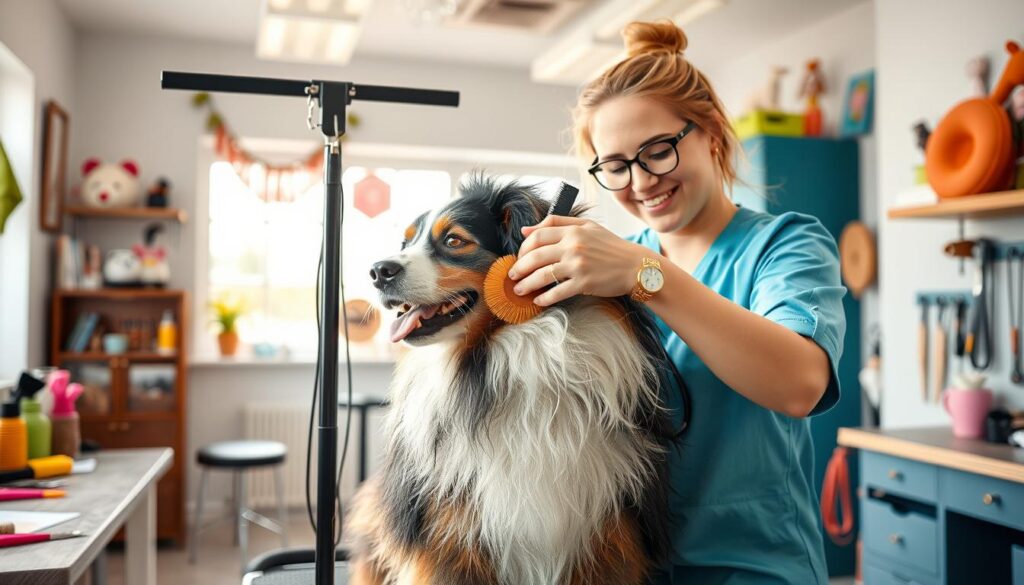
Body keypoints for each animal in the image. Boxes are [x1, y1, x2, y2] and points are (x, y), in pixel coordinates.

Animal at [344, 174, 688, 585]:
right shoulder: (449, 536)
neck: (504, 364)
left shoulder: (609, 536)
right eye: (405, 244)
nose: (378, 271)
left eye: (454, 241)